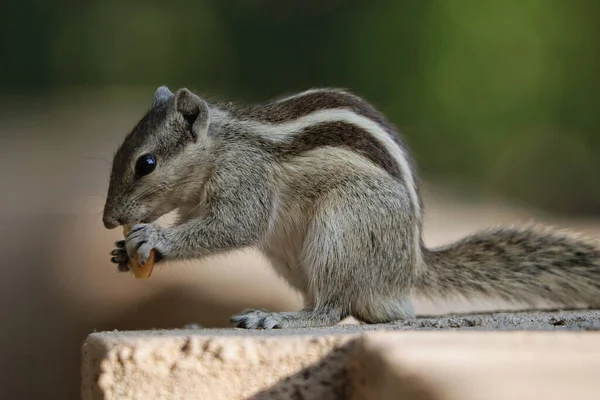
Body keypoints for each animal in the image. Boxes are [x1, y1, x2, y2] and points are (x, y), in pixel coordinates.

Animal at [103, 85, 600, 328]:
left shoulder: (246, 179)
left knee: (332, 309)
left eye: (146, 163)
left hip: (341, 228)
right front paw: (122, 254)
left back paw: (279, 318)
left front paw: (154, 238)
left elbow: (235, 225)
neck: (219, 145)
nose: (109, 220)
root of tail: (410, 266)